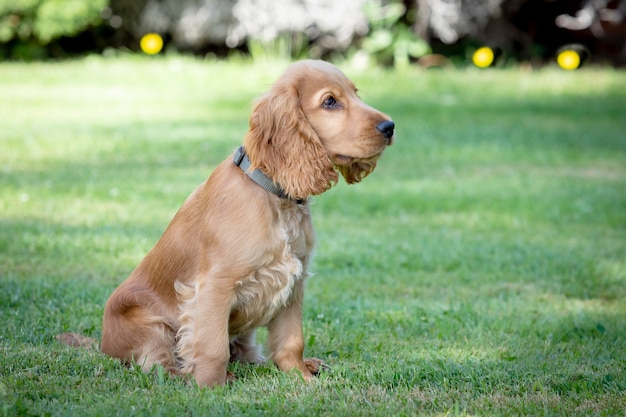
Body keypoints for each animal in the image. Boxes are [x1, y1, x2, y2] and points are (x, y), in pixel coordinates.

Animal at [98, 60, 392, 386]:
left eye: (355, 93)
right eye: (330, 102)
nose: (390, 127)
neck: (274, 195)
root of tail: (102, 345)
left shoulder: (295, 281)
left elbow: (292, 340)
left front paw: (300, 375)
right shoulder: (214, 285)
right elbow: (212, 347)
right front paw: (209, 386)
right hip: (149, 325)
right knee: (158, 363)